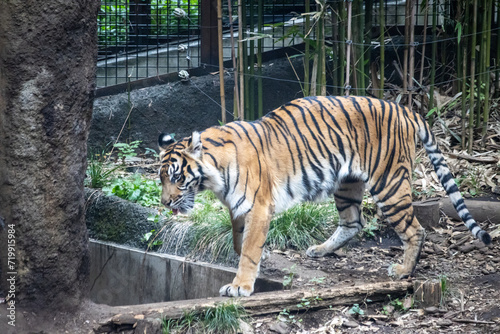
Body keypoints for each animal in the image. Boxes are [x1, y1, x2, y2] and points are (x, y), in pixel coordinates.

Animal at [157, 95, 492, 296]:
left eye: (177, 178)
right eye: (160, 179)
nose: (165, 202)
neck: (214, 176)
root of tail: (405, 109)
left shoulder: (258, 207)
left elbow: (250, 249)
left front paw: (240, 286)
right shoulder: (238, 209)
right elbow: (239, 242)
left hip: (389, 184)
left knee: (414, 230)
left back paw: (402, 271)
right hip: (346, 184)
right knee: (353, 223)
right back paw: (320, 250)